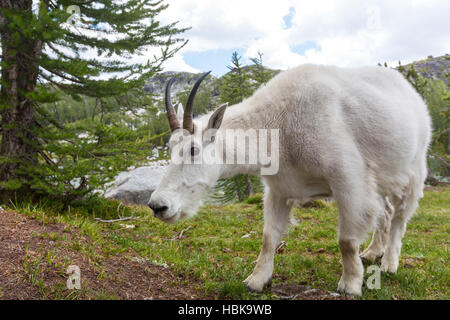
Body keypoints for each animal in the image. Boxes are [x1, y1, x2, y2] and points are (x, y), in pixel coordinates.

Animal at [149, 64, 432, 296]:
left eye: (193, 149)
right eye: (170, 148)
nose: (158, 205)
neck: (280, 124)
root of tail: (412, 95)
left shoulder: (349, 182)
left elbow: (346, 241)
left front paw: (350, 284)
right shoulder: (279, 190)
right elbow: (269, 238)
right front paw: (256, 281)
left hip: (413, 171)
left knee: (399, 218)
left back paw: (389, 264)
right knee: (386, 212)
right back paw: (373, 252)